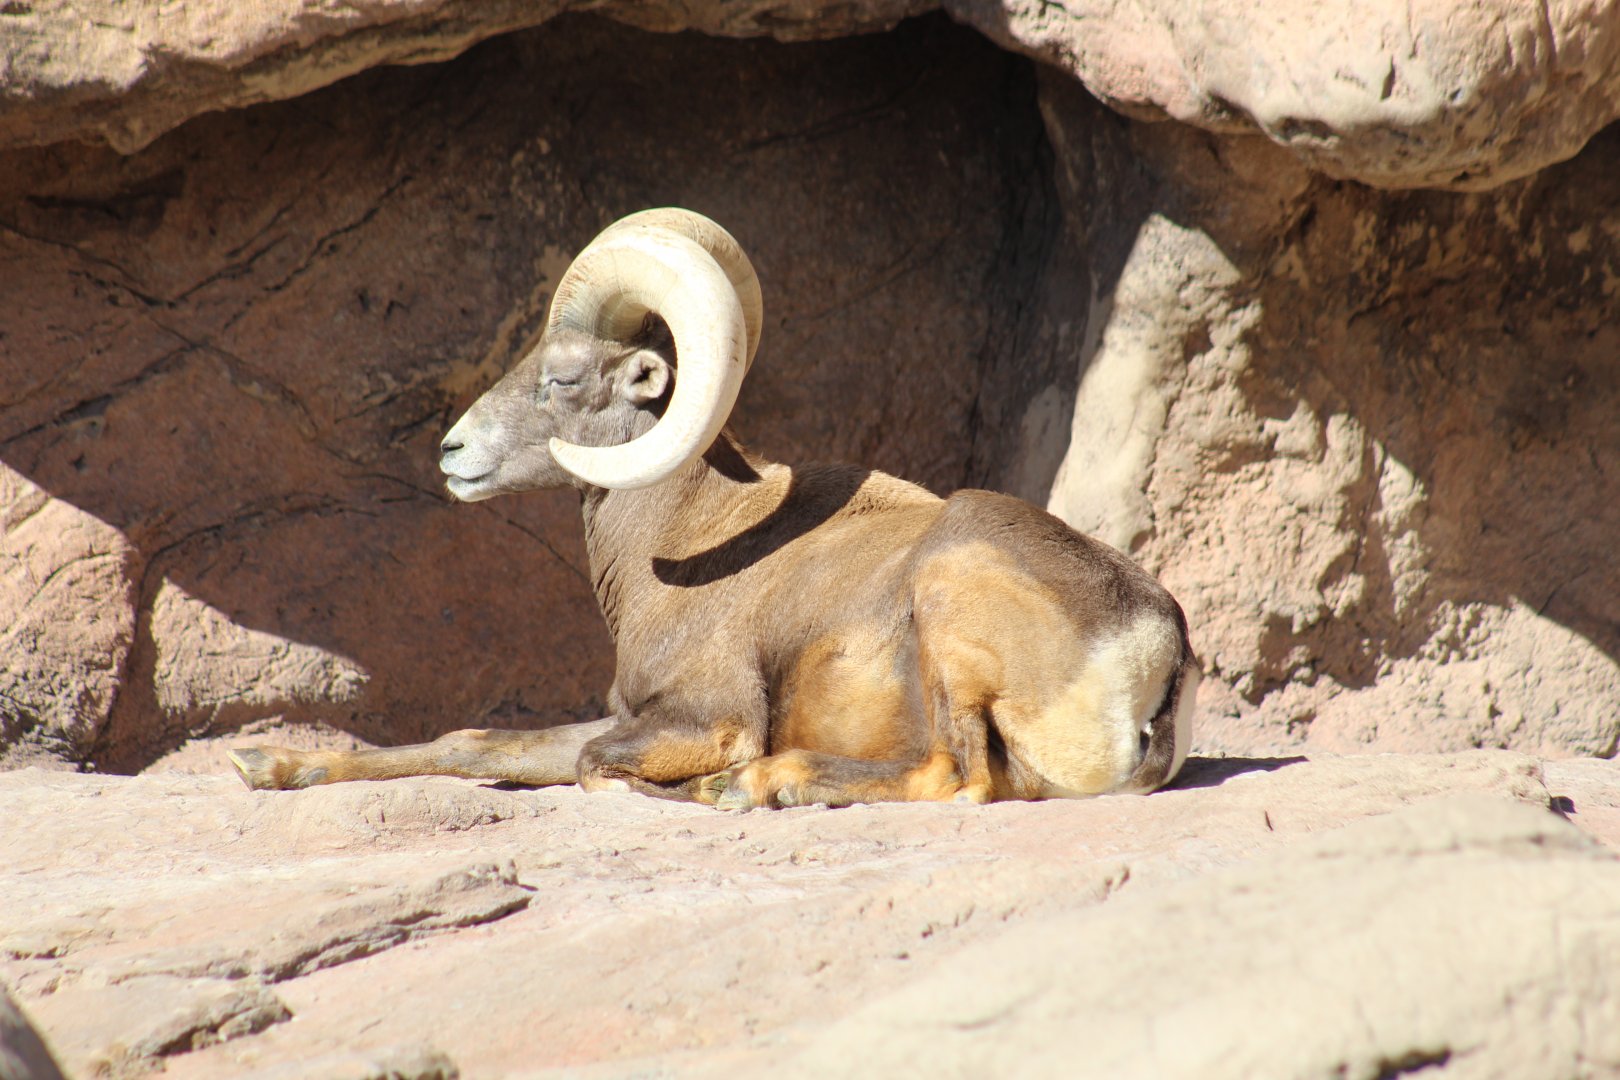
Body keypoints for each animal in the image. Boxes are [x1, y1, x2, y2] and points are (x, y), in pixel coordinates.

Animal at [229, 208, 1200, 808]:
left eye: (564, 377)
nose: (452, 454)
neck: (680, 546)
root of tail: (1153, 650)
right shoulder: (626, 713)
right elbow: (474, 743)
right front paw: (267, 763)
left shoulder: (702, 716)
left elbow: (595, 770)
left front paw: (706, 786)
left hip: (948, 601)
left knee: (952, 779)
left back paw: (762, 786)